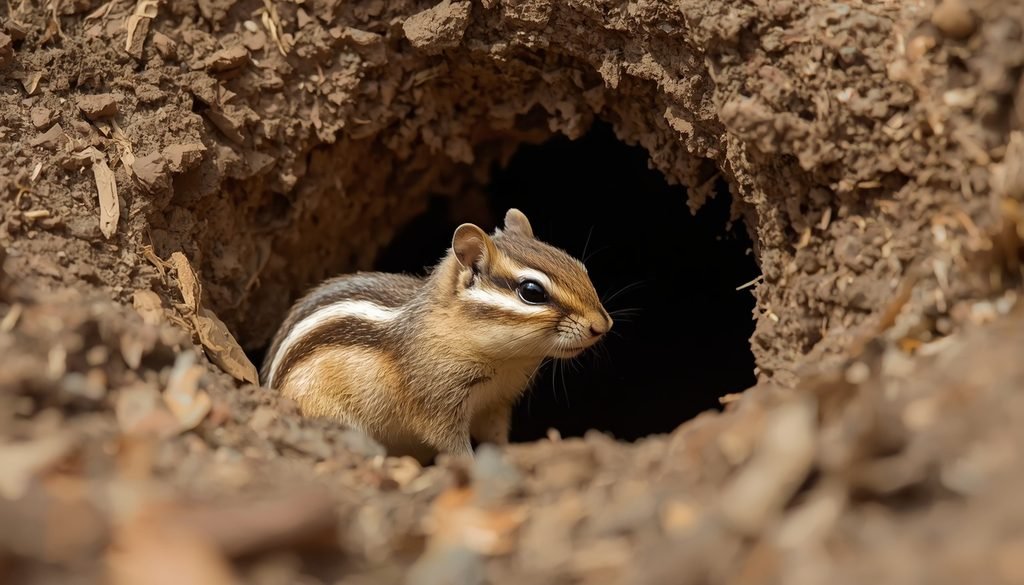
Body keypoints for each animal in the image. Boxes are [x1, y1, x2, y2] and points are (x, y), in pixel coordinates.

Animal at [260, 208, 612, 463]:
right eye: (532, 292)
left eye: (579, 267)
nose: (602, 325)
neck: (504, 362)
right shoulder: (437, 401)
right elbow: (450, 443)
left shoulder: (495, 403)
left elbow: (496, 438)